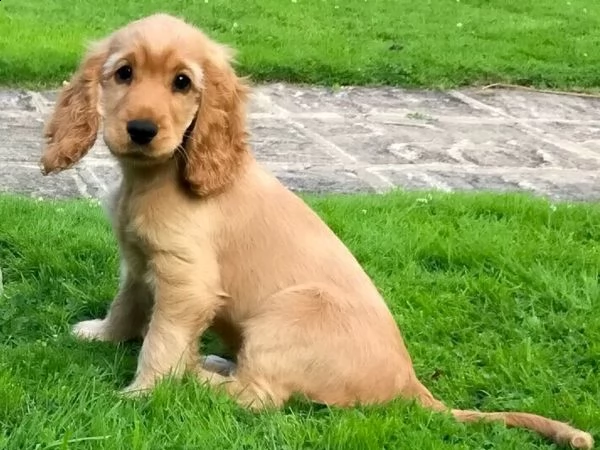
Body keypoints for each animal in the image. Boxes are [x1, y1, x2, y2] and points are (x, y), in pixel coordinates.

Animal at [39, 12, 592, 448]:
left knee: (257, 397)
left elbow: (162, 339)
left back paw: (197, 374)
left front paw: (143, 391)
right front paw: (103, 335)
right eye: (123, 73)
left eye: (182, 82)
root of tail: (409, 385)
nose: (141, 130)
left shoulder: (187, 281)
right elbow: (128, 305)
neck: (152, 178)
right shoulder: (138, 262)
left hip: (295, 310)